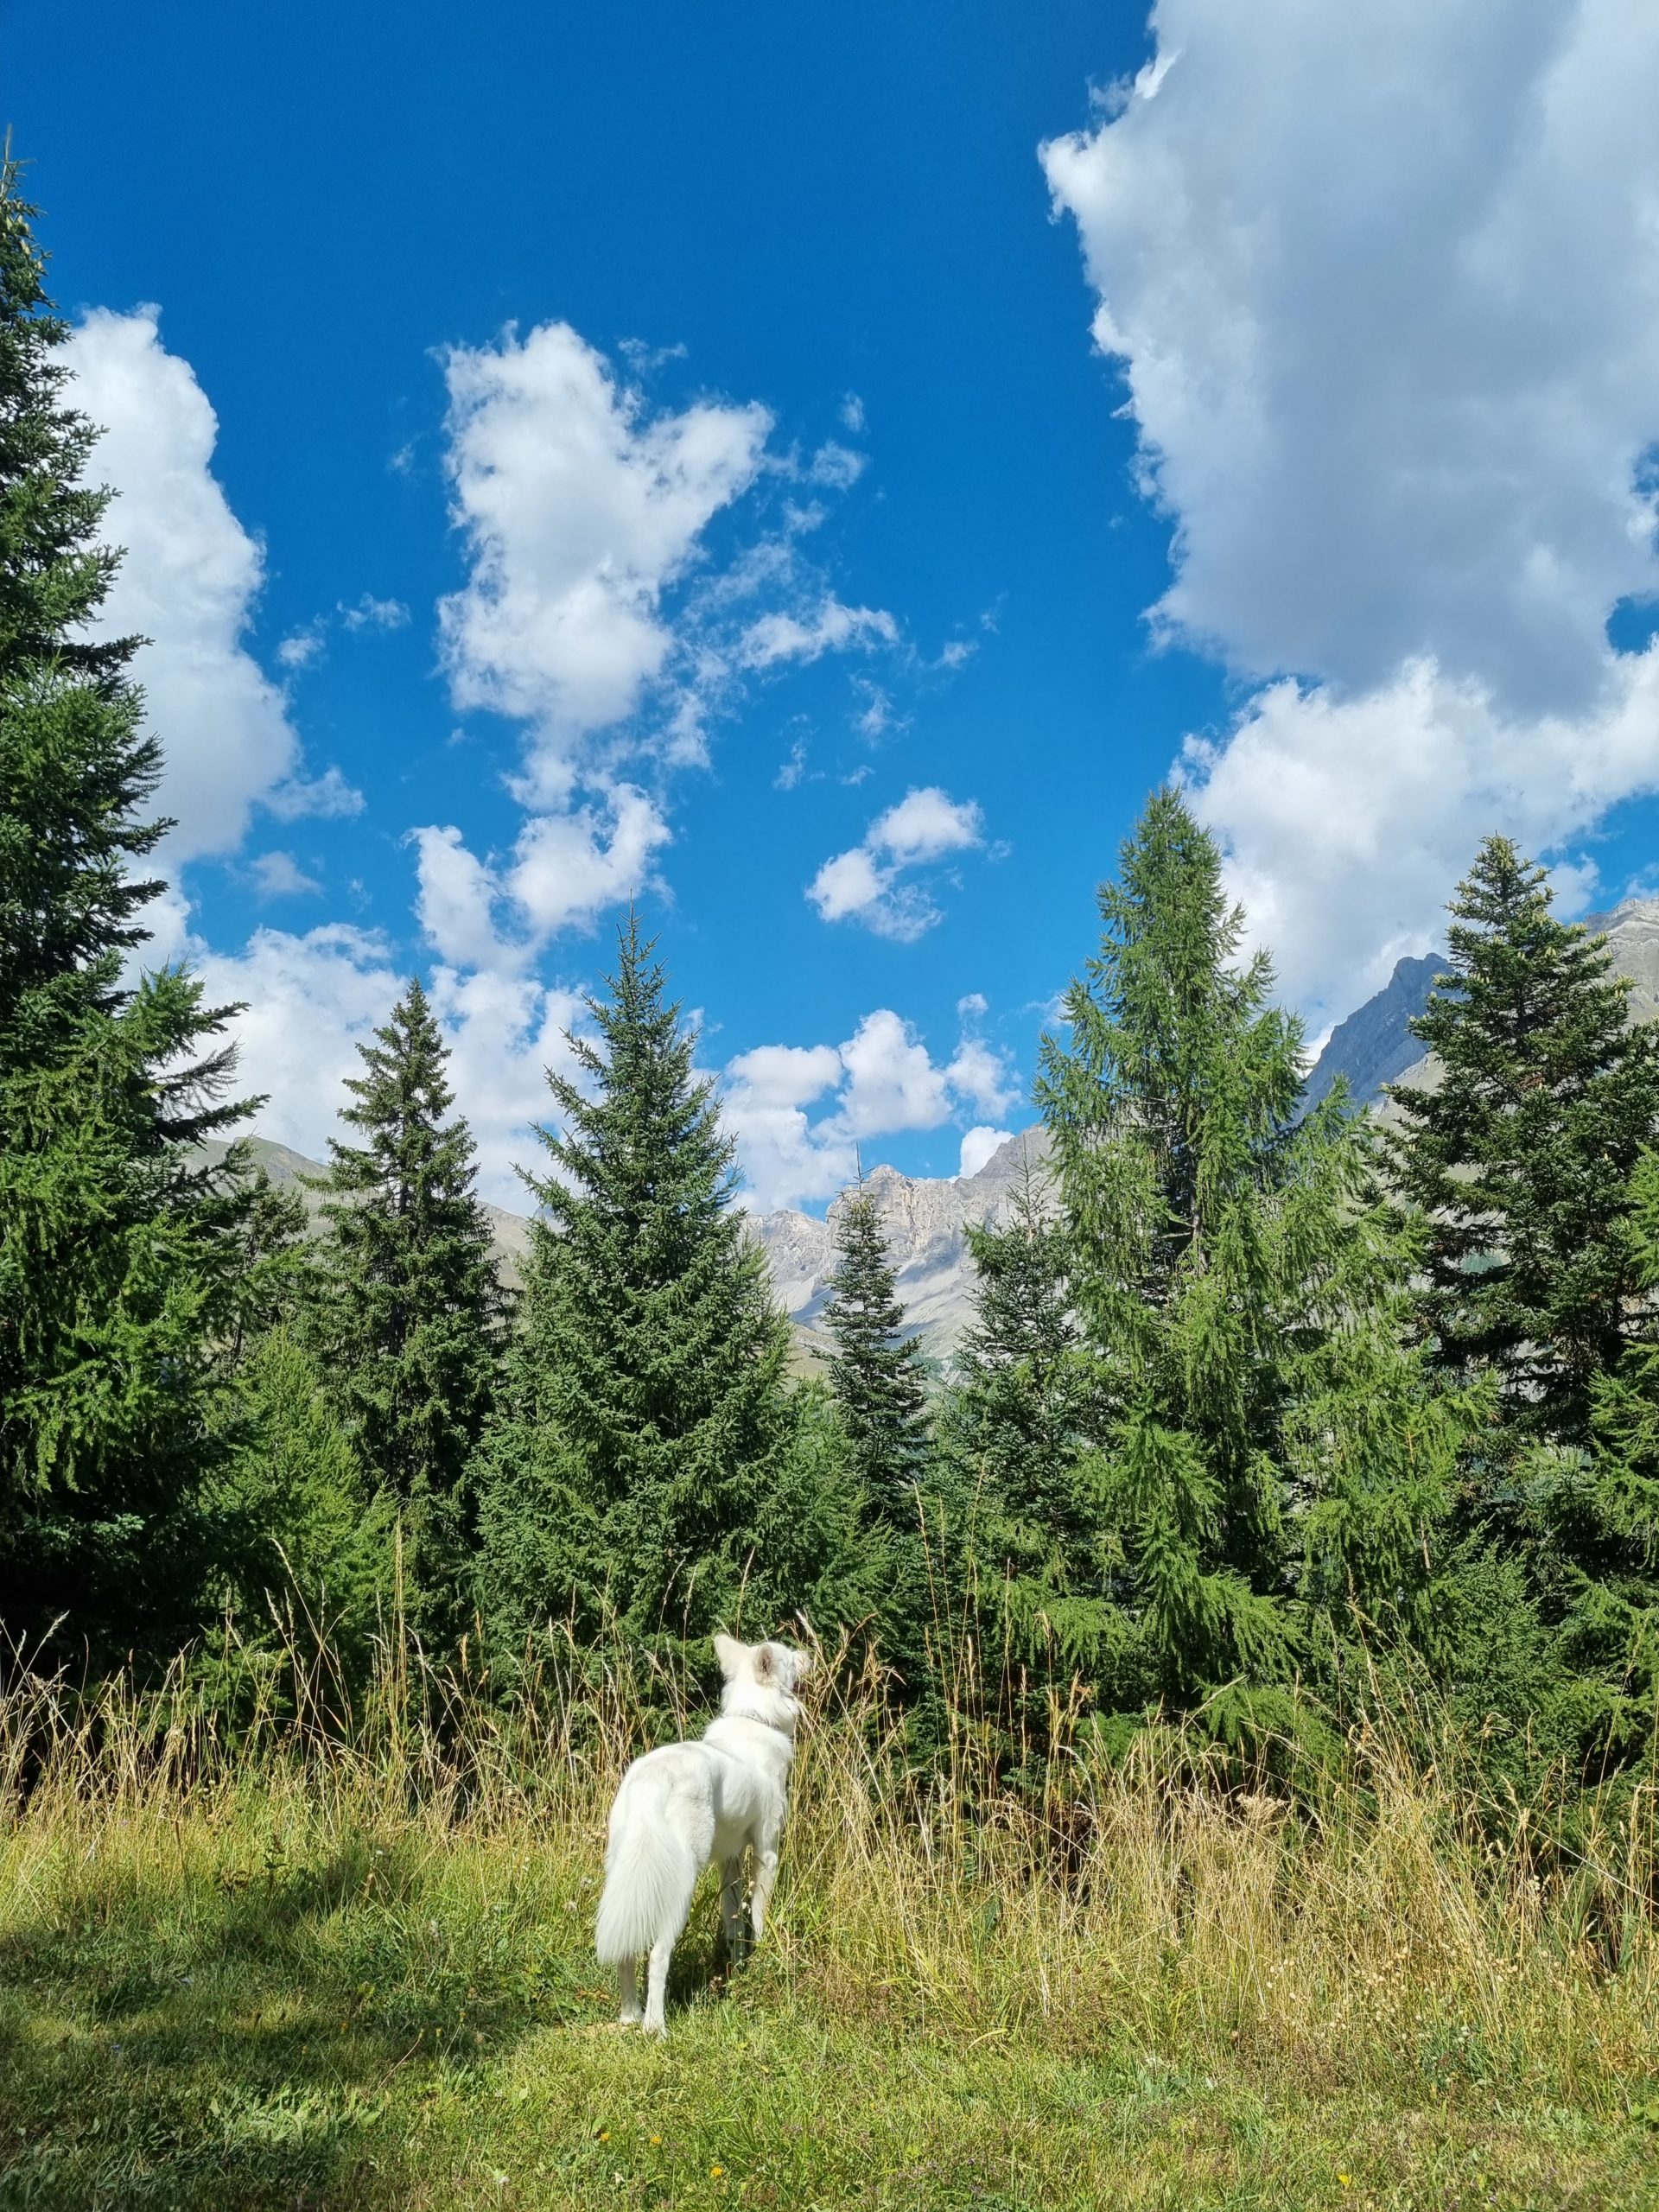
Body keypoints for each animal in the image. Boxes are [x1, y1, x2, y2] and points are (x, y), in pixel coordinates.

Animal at [597, 1628, 814, 2035]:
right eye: (790, 1657)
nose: (809, 1653)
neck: (755, 1717)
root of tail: (652, 1781)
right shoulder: (767, 1853)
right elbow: (757, 1917)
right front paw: (760, 1956)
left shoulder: (729, 1862)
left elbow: (734, 1922)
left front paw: (738, 1966)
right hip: (680, 1886)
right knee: (657, 1956)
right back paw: (655, 2028)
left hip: (625, 1875)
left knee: (627, 1955)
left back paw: (630, 2015)